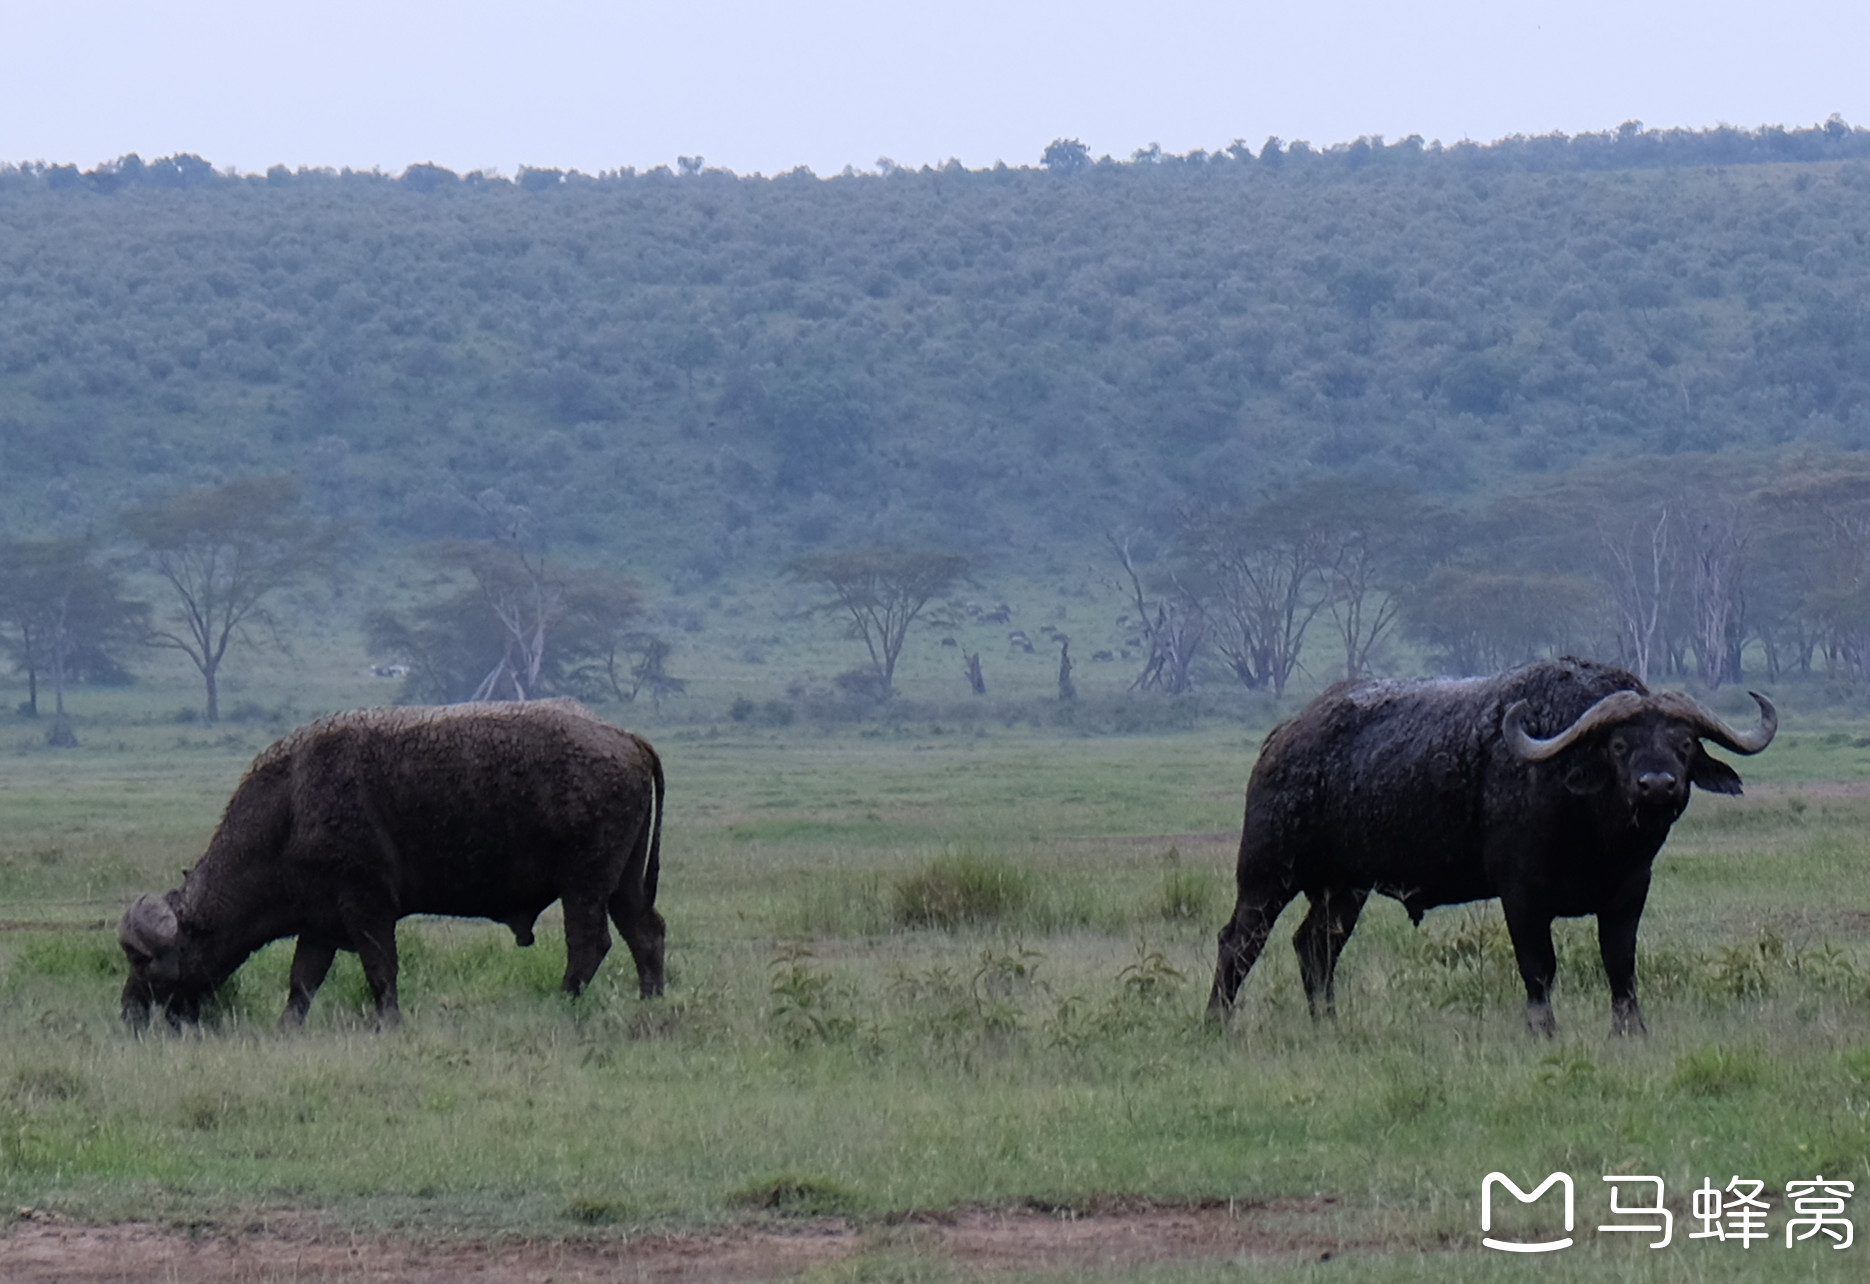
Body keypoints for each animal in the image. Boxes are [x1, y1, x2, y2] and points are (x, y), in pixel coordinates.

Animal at [118, 699, 665, 1031]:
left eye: (145, 962)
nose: (128, 1012)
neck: (290, 805)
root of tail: (627, 737)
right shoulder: (319, 923)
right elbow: (302, 982)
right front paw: (285, 1028)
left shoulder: (367, 905)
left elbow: (381, 969)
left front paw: (389, 1024)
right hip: (623, 882)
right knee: (646, 932)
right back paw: (652, 1001)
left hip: (584, 883)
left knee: (589, 944)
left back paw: (562, 1001)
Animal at [1204, 657, 1772, 1039]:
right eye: (1619, 745)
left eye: (1684, 743)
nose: (1658, 786)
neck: (1595, 835)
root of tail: (1283, 736)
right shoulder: (1520, 895)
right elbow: (1539, 966)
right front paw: (1543, 1031)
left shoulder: (1630, 892)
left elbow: (1620, 964)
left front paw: (1630, 1031)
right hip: (1267, 873)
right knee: (1239, 941)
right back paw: (1216, 1022)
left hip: (1345, 888)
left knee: (1316, 946)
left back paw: (1328, 1025)